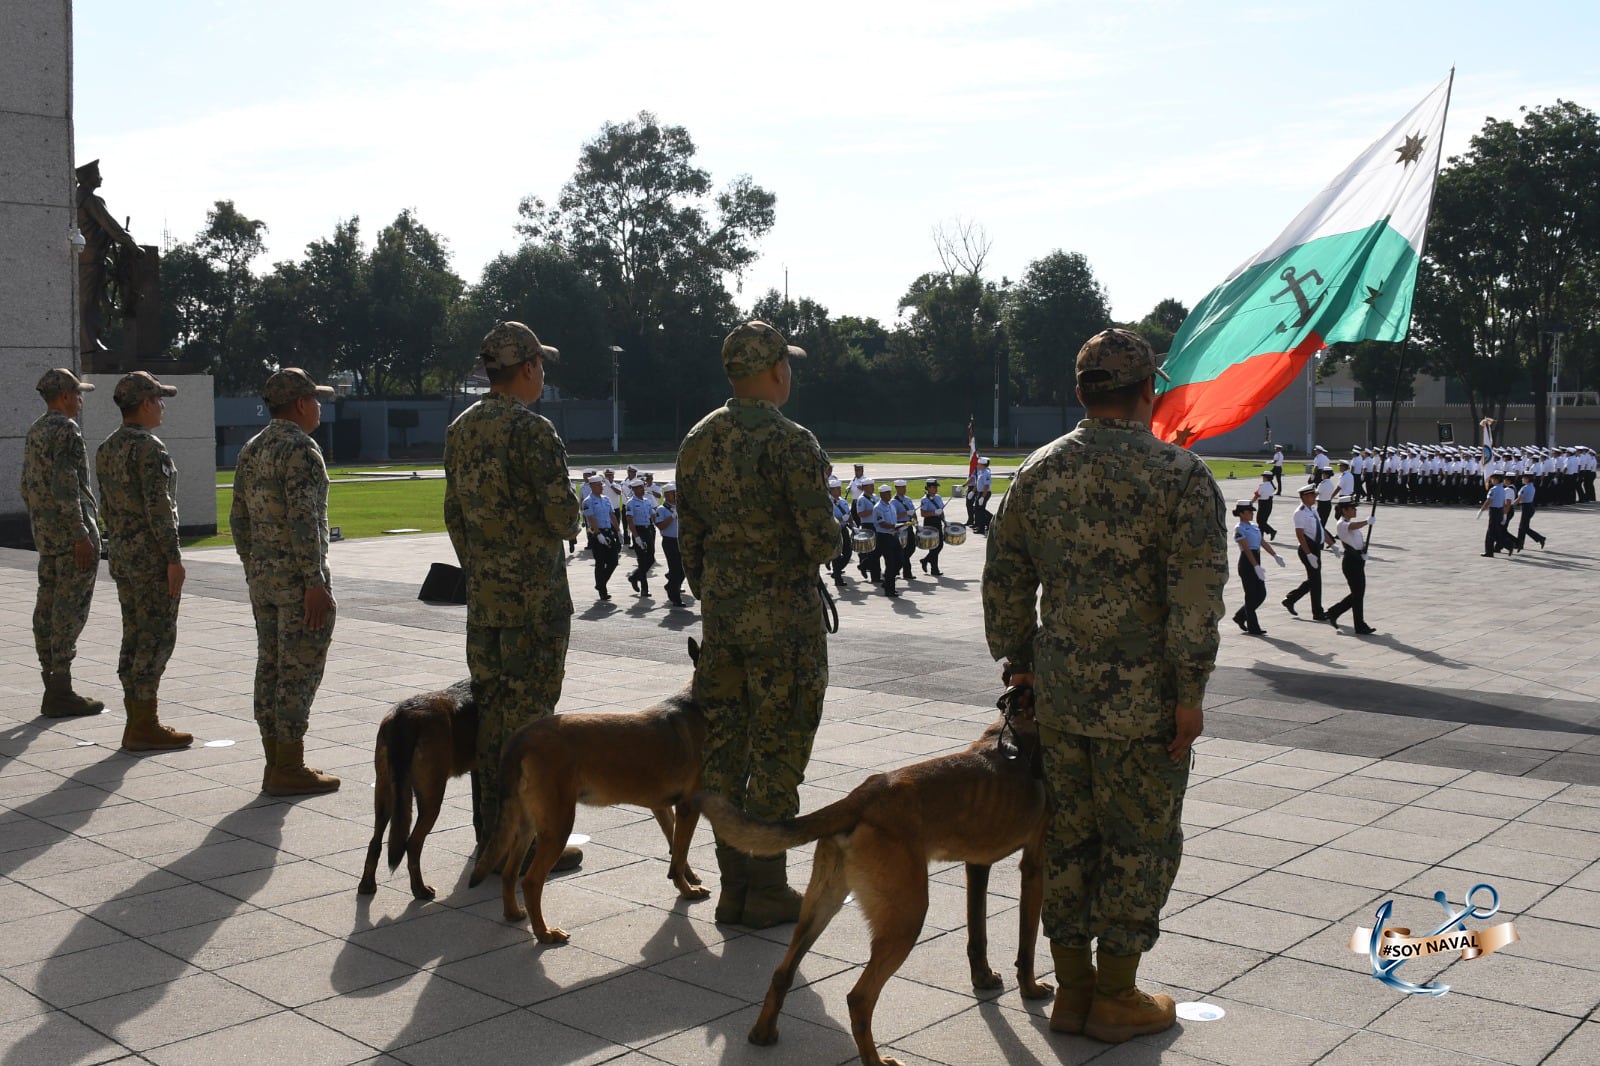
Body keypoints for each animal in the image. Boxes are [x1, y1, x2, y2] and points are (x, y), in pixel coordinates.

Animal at [363, 675, 480, 889]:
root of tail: (405, 717)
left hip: (385, 792)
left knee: (375, 842)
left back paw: (367, 886)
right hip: (432, 797)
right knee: (413, 844)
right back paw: (420, 890)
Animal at [467, 630, 710, 941]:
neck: (697, 704)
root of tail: (520, 738)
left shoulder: (663, 808)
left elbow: (676, 849)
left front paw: (687, 879)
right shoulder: (689, 807)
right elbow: (679, 853)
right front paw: (688, 890)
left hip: (527, 821)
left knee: (511, 872)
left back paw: (513, 913)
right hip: (558, 825)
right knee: (531, 881)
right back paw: (545, 933)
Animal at [700, 685, 1049, 1062]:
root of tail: (861, 798)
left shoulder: (977, 865)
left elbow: (978, 934)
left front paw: (982, 978)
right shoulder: (1035, 867)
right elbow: (1027, 943)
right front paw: (1030, 988)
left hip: (821, 904)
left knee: (783, 972)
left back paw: (763, 1032)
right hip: (906, 917)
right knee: (860, 998)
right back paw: (874, 1059)